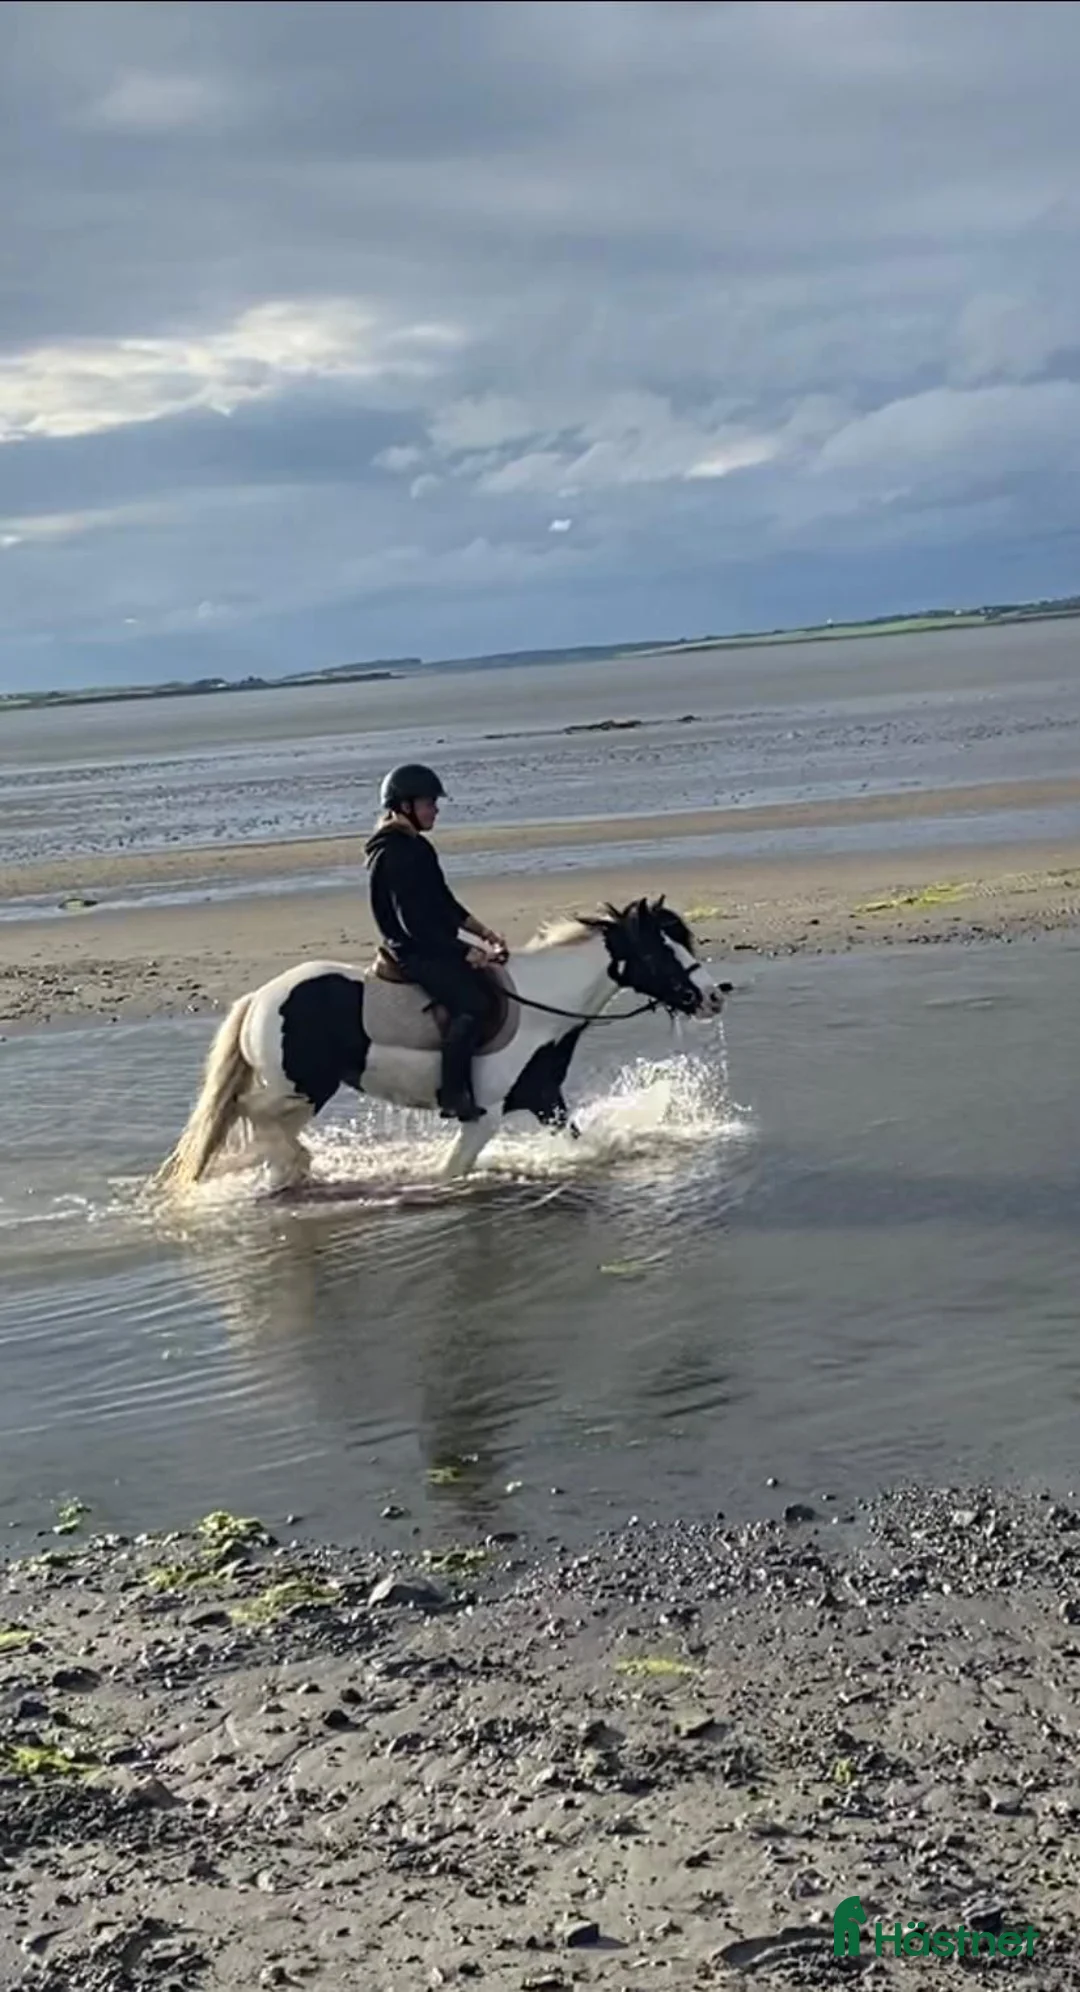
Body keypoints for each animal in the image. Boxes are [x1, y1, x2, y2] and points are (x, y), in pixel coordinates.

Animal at [148, 894, 731, 1198]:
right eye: (660, 950)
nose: (711, 996)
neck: (545, 1005)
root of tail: (260, 998)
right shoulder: (484, 1116)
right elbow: (452, 1171)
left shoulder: (546, 1100)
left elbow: (581, 1145)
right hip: (301, 1087)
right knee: (246, 1112)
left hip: (300, 1092)